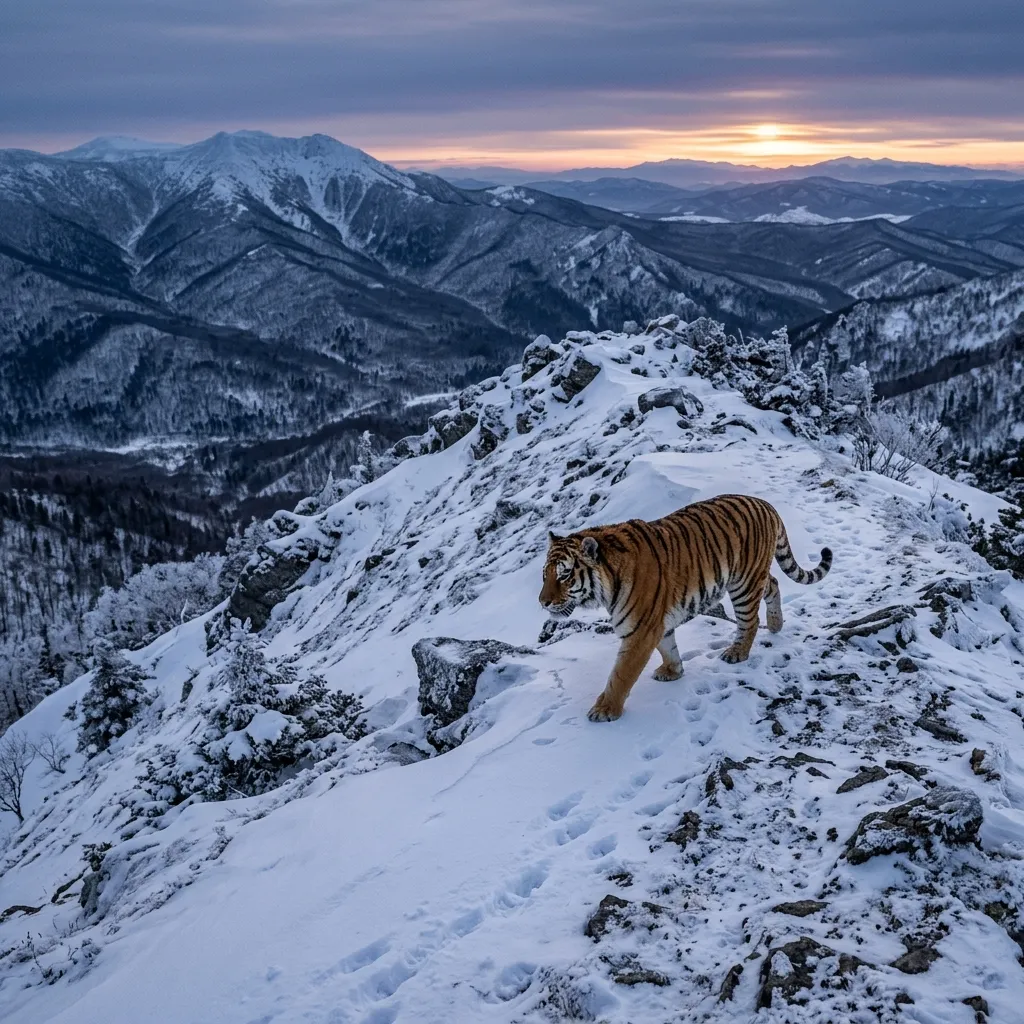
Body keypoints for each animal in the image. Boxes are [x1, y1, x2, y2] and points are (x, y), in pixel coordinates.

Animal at [538, 494, 832, 722]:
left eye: (564, 575)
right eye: (545, 575)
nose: (543, 602)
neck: (608, 582)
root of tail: (764, 503)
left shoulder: (640, 630)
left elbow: (621, 674)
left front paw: (604, 710)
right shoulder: (655, 622)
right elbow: (667, 648)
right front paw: (673, 672)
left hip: (744, 583)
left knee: (749, 620)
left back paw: (737, 652)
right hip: (754, 576)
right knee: (772, 584)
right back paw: (775, 623)